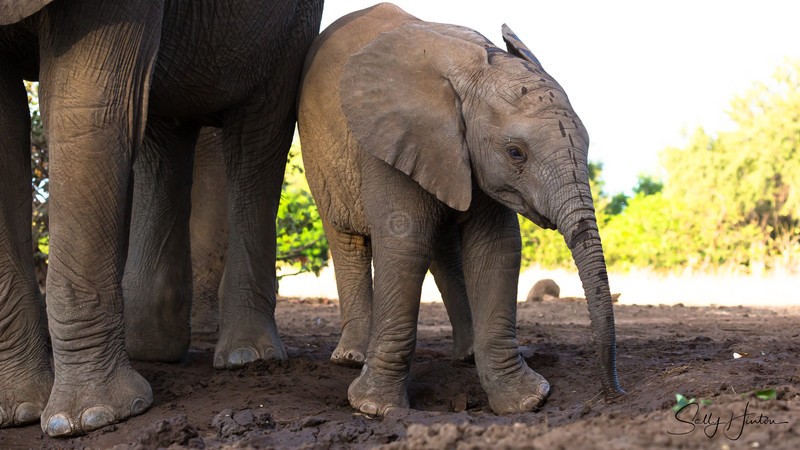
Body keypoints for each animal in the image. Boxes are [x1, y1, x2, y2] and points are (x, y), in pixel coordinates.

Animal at [0, 0, 323, 436]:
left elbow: (86, 110)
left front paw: (89, 419)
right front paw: (17, 412)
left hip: (291, 28)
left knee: (256, 143)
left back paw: (248, 357)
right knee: (164, 134)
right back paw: (151, 347)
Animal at [297, 3, 624, 416]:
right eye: (515, 153)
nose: (614, 394)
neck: (470, 76)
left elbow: (495, 248)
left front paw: (524, 403)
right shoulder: (390, 141)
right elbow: (405, 244)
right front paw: (375, 408)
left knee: (444, 249)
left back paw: (465, 355)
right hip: (321, 156)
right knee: (347, 240)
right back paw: (352, 358)